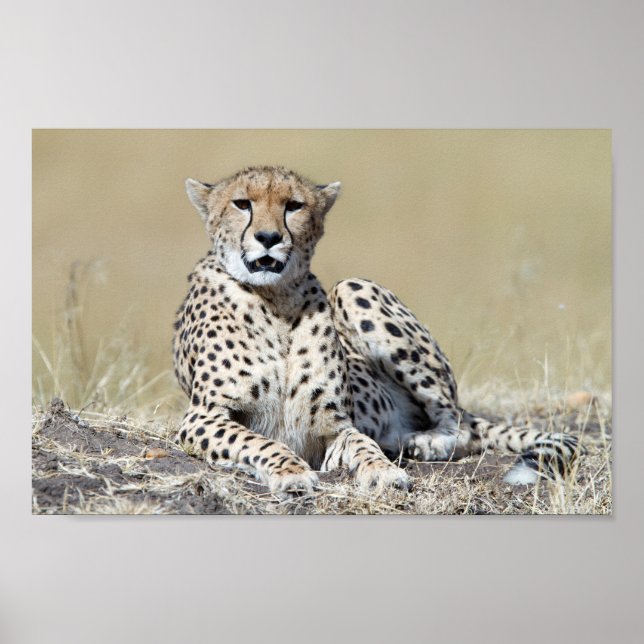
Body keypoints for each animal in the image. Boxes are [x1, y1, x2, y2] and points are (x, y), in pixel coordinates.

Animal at [172, 165, 578, 496]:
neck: (275, 300)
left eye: (294, 206)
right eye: (242, 204)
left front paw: (382, 471)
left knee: (460, 423)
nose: (269, 237)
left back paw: (428, 442)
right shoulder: (202, 416)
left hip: (352, 288)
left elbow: (362, 444)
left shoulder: (335, 427)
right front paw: (290, 472)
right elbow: (258, 442)